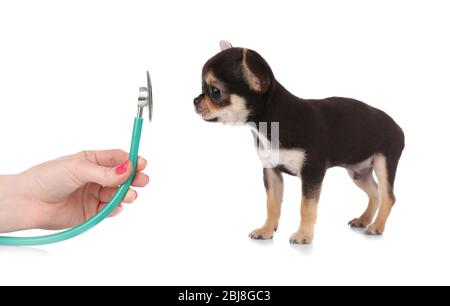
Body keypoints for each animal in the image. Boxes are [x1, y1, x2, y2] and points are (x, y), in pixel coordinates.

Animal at [193, 41, 404, 244]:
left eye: (215, 91)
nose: (195, 100)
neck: (271, 123)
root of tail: (398, 127)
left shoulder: (311, 173)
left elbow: (306, 207)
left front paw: (303, 235)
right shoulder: (272, 172)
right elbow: (272, 205)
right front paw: (266, 231)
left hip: (383, 164)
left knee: (388, 197)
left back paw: (376, 226)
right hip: (358, 172)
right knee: (375, 193)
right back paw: (364, 219)